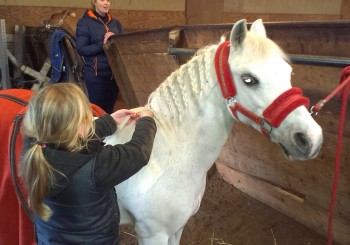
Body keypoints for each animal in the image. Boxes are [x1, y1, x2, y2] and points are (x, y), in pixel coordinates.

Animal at [105, 19, 324, 245]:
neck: (167, 155)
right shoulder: (153, 235)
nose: (311, 138)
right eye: (248, 79)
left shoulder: (176, 229)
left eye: (287, 72)